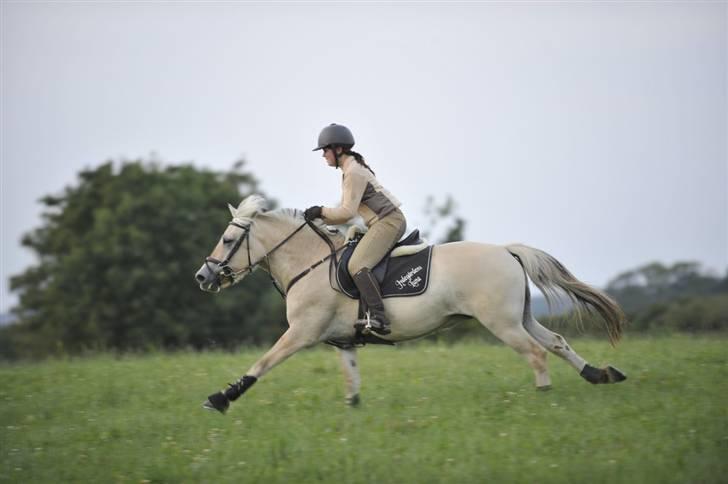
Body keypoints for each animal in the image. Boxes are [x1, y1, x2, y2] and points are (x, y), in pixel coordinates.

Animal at [195, 195, 624, 414]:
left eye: (229, 239)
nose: (203, 276)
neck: (310, 263)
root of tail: (506, 250)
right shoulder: (343, 342)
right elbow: (351, 382)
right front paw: (354, 413)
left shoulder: (300, 333)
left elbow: (262, 363)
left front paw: (220, 398)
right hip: (521, 317)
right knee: (557, 342)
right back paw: (600, 374)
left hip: (501, 323)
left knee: (537, 354)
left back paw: (544, 396)